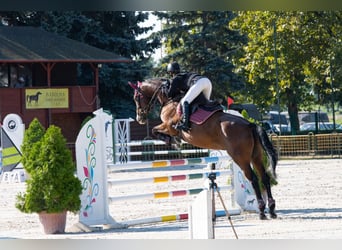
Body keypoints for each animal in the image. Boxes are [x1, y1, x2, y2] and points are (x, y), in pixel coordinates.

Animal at [128, 77, 278, 219]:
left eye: (136, 97)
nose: (140, 118)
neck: (169, 99)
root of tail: (249, 125)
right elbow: (155, 131)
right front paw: (174, 141)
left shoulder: (168, 126)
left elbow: (155, 130)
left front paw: (173, 141)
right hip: (256, 156)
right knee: (264, 177)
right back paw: (271, 209)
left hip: (240, 158)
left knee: (253, 178)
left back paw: (261, 211)